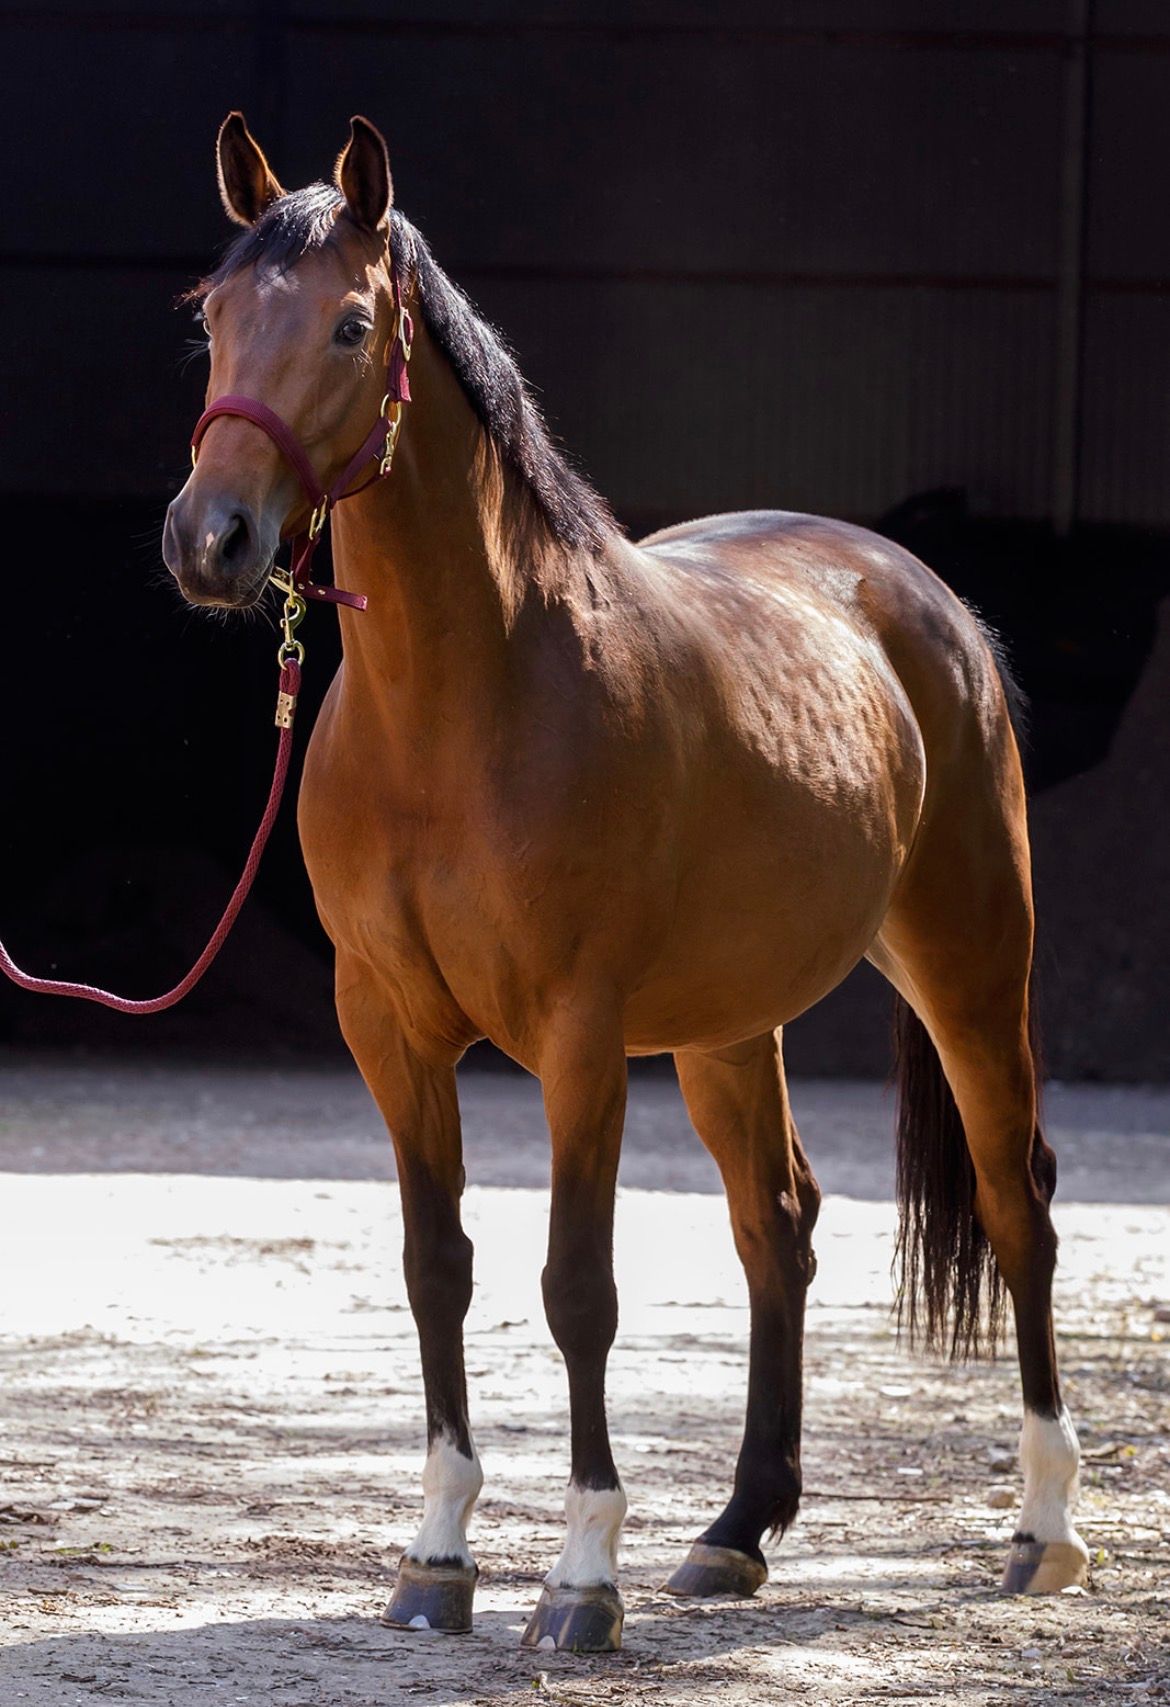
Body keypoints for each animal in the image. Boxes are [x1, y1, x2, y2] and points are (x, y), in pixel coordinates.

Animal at [162, 112, 1090, 1652]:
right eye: (213, 319)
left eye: (350, 324)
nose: (210, 539)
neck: (463, 704)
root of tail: (930, 604)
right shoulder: (388, 1029)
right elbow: (436, 1269)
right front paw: (436, 1561)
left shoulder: (581, 1037)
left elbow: (575, 1287)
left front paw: (579, 1579)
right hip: (727, 1026)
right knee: (776, 1228)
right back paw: (733, 1531)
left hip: (970, 962)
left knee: (1018, 1202)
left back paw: (1045, 1526)